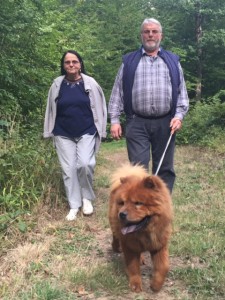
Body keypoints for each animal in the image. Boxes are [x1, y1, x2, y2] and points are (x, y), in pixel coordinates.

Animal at [108, 163, 173, 292]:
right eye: (122, 203)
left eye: (138, 203)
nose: (121, 214)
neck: (144, 232)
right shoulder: (129, 246)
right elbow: (133, 266)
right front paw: (136, 284)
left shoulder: (159, 245)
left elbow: (163, 266)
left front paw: (155, 285)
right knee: (115, 235)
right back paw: (116, 247)